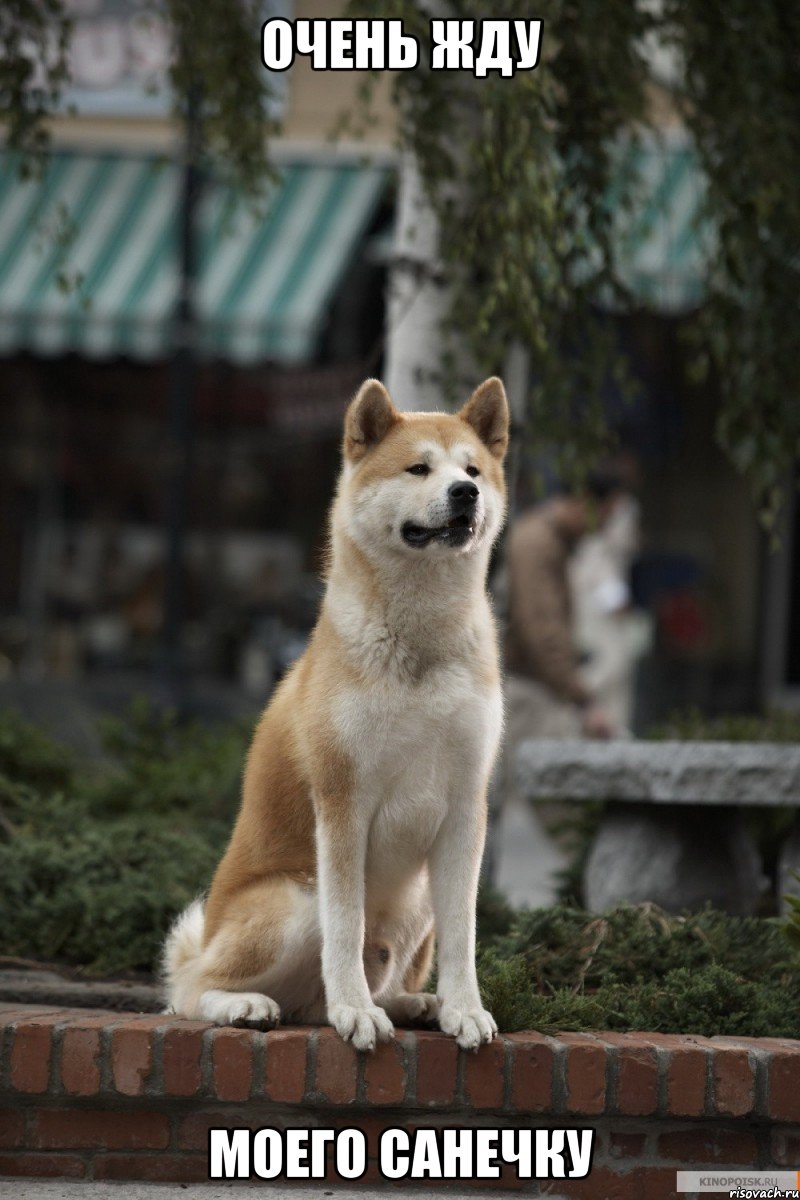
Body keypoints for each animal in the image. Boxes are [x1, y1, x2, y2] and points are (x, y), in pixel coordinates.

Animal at [165, 374, 510, 1051]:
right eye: (418, 468)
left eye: (473, 470)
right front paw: (355, 1011)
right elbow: (346, 928)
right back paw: (250, 1005)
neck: (420, 643)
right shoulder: (343, 801)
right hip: (295, 900)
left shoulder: (466, 806)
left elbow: (464, 935)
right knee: (189, 990)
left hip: (417, 900)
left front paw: (464, 1009)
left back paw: (415, 1003)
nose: (465, 493)